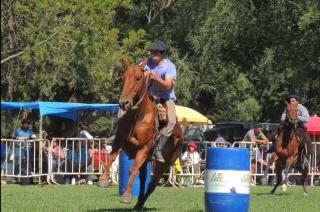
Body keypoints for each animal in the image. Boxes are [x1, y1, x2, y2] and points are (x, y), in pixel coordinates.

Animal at [97, 58, 184, 209]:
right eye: (123, 78)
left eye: (138, 78)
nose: (124, 102)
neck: (138, 117)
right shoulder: (119, 141)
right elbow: (110, 158)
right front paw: (103, 180)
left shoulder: (143, 149)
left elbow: (132, 169)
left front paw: (126, 196)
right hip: (147, 161)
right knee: (143, 179)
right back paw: (138, 203)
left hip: (164, 164)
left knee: (152, 184)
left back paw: (141, 202)